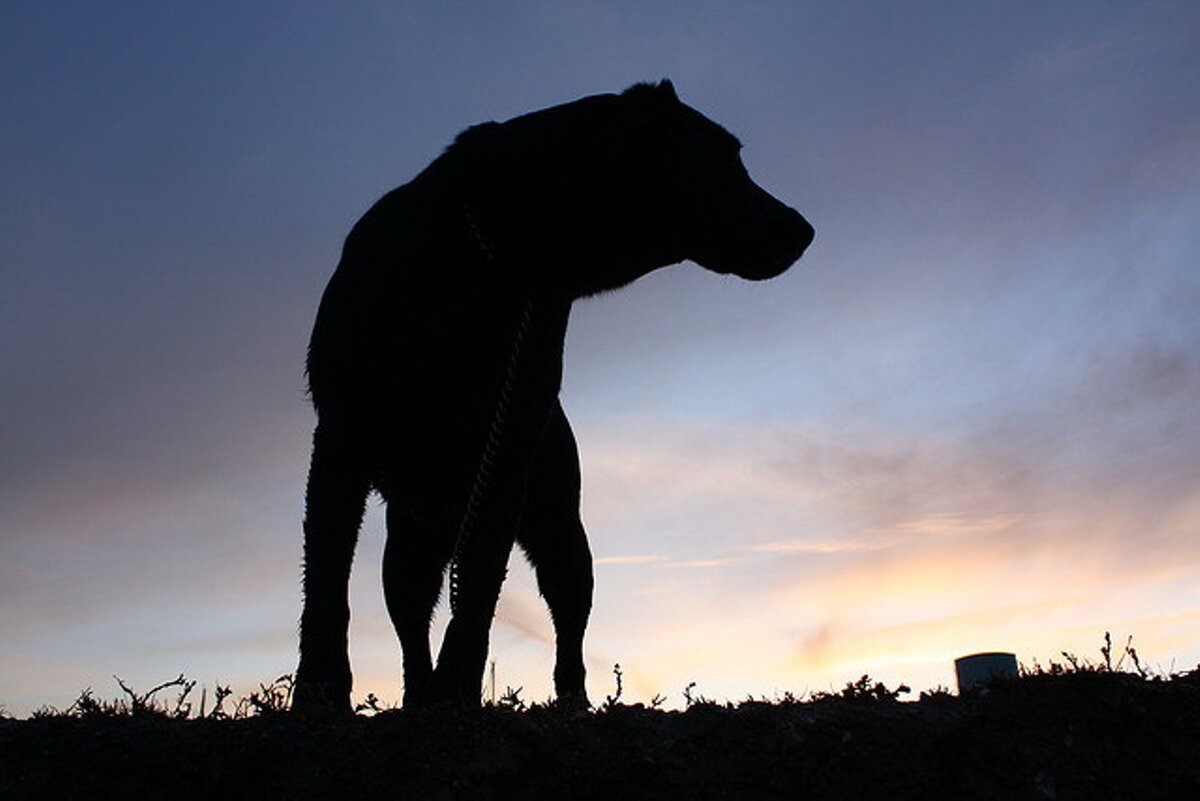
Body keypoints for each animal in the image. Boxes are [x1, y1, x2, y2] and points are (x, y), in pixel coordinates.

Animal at [296, 81, 816, 714]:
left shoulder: (503, 460)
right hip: (413, 536)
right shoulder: (341, 439)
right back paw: (418, 696)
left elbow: (477, 596)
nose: (803, 229)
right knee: (410, 610)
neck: (497, 256)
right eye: (726, 161)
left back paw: (570, 701)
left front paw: (458, 694)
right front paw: (320, 691)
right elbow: (327, 585)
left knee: (567, 621)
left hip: (560, 530)